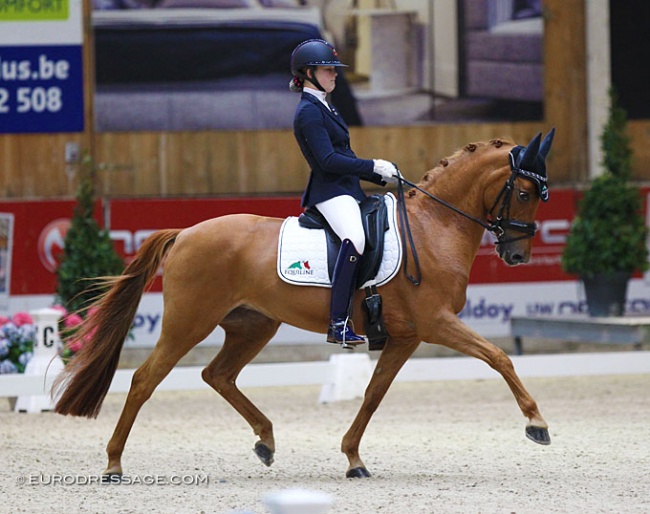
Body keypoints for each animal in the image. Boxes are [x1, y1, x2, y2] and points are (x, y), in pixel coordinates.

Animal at [53, 130, 556, 478]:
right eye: (524, 193)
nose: (517, 255)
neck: (434, 228)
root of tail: (186, 233)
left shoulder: (407, 337)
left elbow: (373, 394)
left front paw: (353, 458)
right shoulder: (436, 322)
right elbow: (499, 356)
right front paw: (536, 423)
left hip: (253, 325)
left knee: (218, 375)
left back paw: (266, 441)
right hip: (189, 322)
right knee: (144, 380)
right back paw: (113, 464)